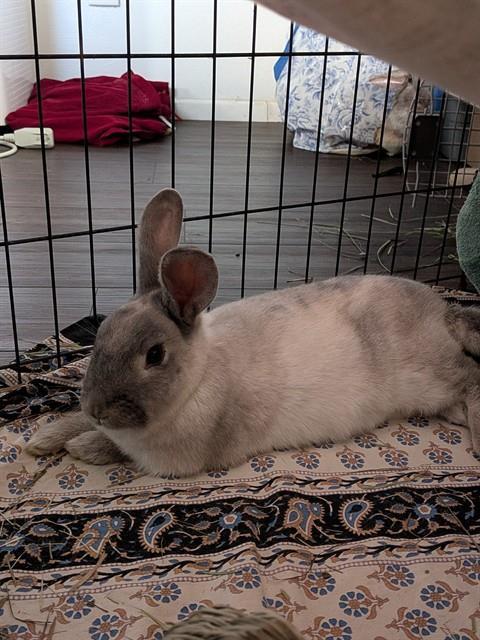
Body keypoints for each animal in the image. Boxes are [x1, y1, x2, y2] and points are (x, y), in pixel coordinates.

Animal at [26, 188, 480, 477]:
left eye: (154, 355)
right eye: (100, 336)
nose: (97, 410)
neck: (200, 376)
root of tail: (444, 313)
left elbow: (117, 450)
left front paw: (81, 447)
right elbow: (74, 425)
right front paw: (44, 439)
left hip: (429, 375)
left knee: (471, 378)